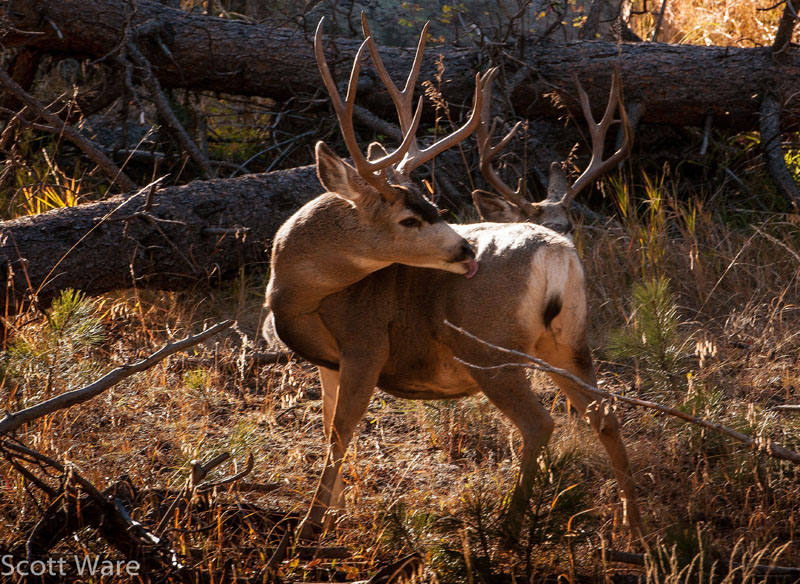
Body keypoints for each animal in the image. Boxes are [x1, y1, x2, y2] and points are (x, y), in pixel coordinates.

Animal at [265, 16, 642, 544]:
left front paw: (311, 523)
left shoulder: (365, 344)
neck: (302, 294)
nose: (465, 250)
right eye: (411, 216)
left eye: (432, 207)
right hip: (570, 343)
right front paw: (336, 510)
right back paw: (634, 522)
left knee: (539, 423)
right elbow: (325, 426)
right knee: (604, 411)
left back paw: (509, 524)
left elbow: (341, 431)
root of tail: (558, 252)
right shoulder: (330, 362)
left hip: (487, 348)